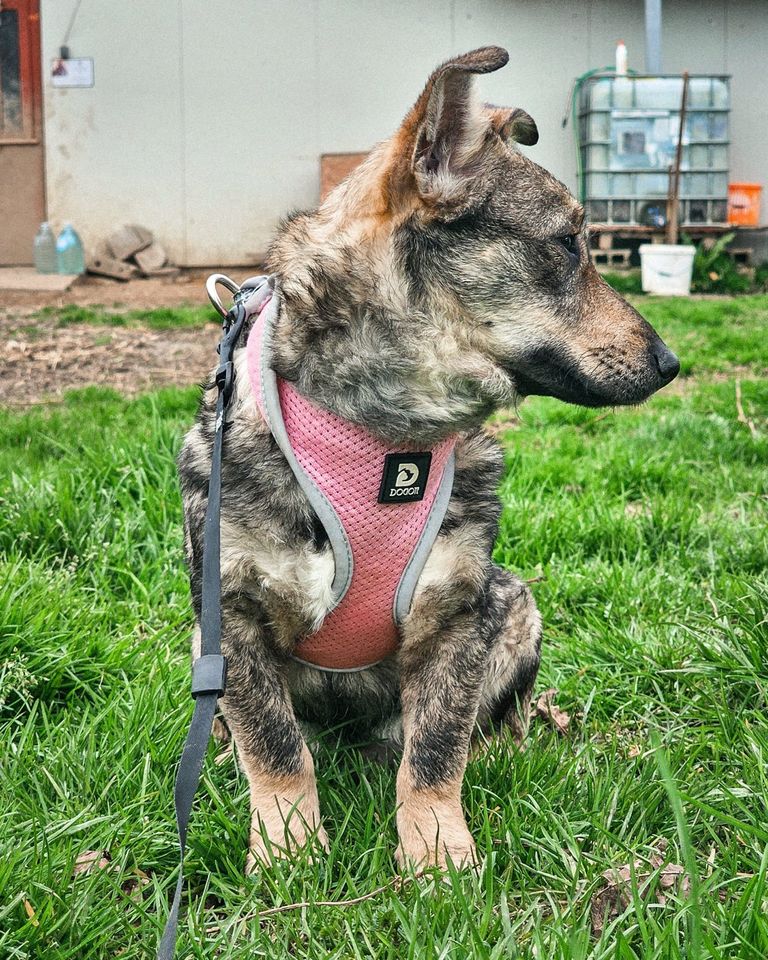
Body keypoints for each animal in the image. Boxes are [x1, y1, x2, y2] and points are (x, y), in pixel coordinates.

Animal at [178, 45, 680, 872]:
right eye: (565, 244)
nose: (671, 364)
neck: (381, 431)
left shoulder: (455, 612)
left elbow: (437, 748)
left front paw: (439, 854)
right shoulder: (235, 615)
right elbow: (276, 747)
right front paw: (288, 851)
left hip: (515, 604)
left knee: (490, 716)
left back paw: (502, 748)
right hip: (200, 638)